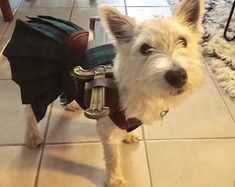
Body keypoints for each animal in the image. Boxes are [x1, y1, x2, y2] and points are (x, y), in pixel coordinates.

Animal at [25, 0, 204, 186]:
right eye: (145, 48)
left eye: (183, 41)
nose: (177, 76)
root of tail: (34, 21)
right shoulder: (107, 129)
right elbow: (113, 158)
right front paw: (114, 178)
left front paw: (128, 136)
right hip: (41, 83)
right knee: (30, 109)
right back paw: (33, 136)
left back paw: (72, 104)